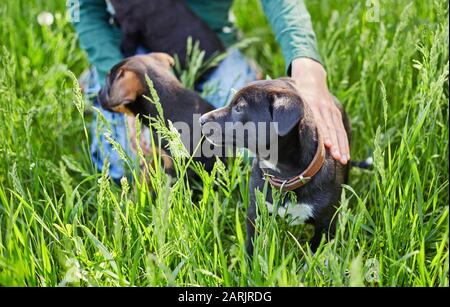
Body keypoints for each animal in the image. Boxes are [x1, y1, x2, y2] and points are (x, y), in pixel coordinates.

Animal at [200, 77, 352, 255]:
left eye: (239, 108)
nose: (201, 120)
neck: (284, 176)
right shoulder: (255, 211)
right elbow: (252, 244)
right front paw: (250, 261)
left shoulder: (326, 225)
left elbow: (316, 252)